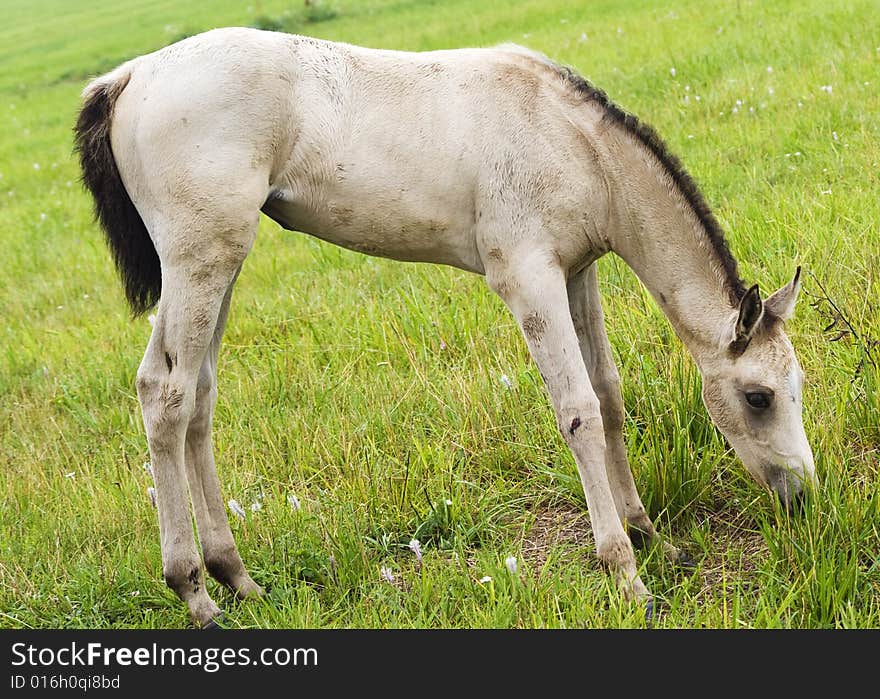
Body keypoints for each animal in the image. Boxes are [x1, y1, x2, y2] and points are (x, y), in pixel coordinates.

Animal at [77, 28, 820, 628]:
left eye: (797, 385)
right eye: (758, 397)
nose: (803, 496)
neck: (570, 140)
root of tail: (131, 75)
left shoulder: (577, 271)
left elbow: (608, 395)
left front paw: (648, 533)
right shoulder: (527, 277)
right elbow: (577, 410)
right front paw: (625, 572)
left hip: (222, 263)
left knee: (199, 395)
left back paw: (238, 577)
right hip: (199, 259)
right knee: (165, 393)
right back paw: (195, 592)